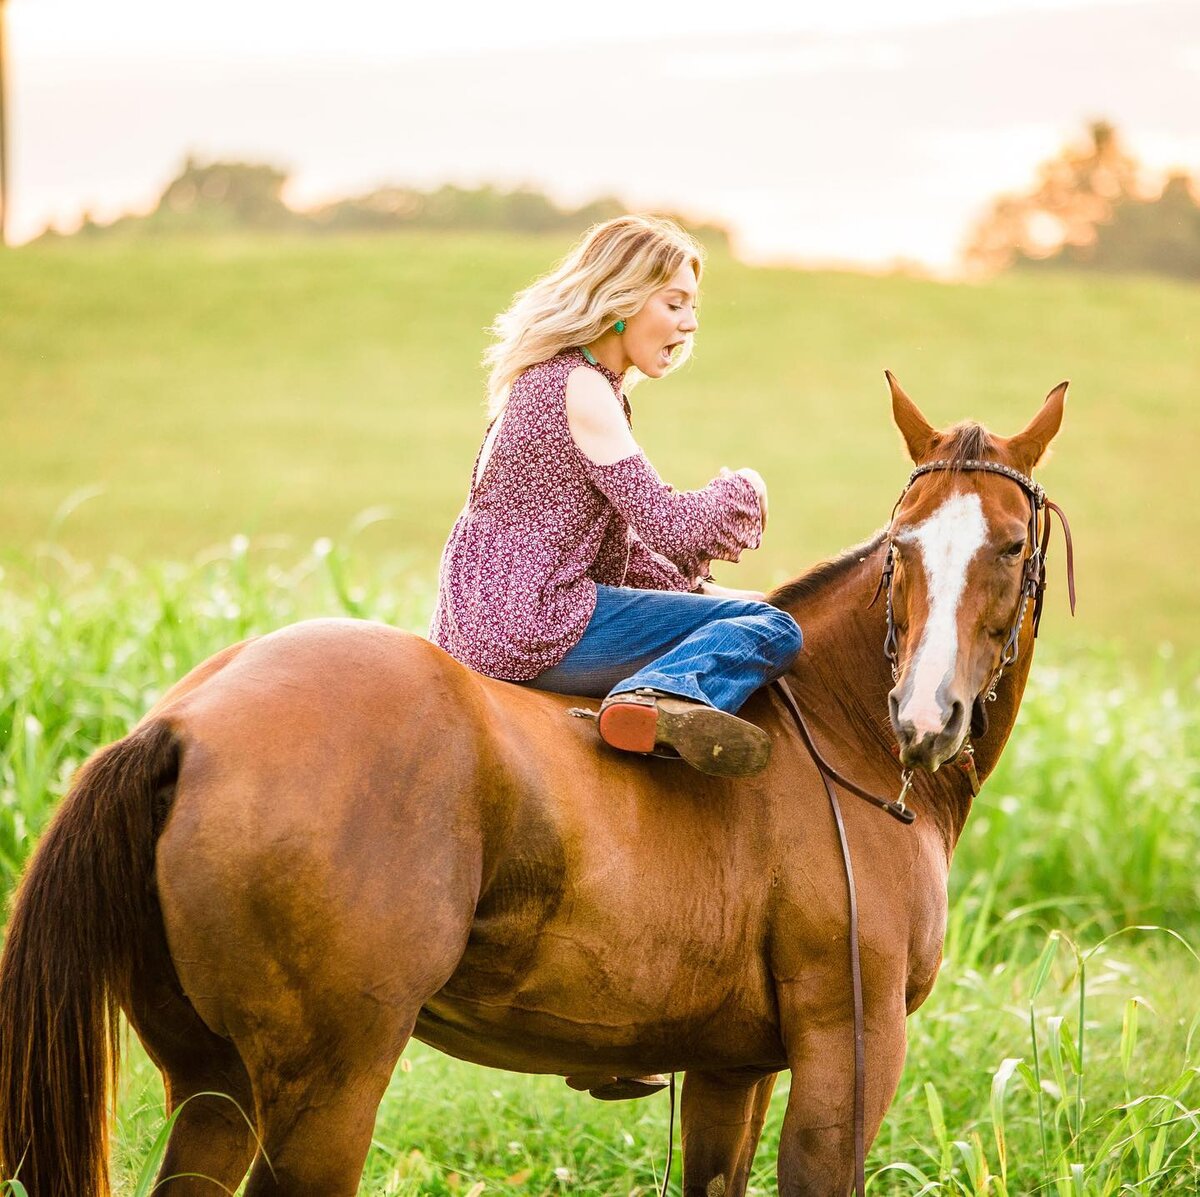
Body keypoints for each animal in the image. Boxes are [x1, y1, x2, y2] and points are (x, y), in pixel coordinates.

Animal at [0, 376, 1070, 1197]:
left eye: (1011, 546)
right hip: (323, 1092)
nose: (925, 717)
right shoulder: (849, 1052)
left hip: (214, 1086)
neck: (843, 734)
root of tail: (181, 725)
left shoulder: (733, 1068)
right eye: (902, 546)